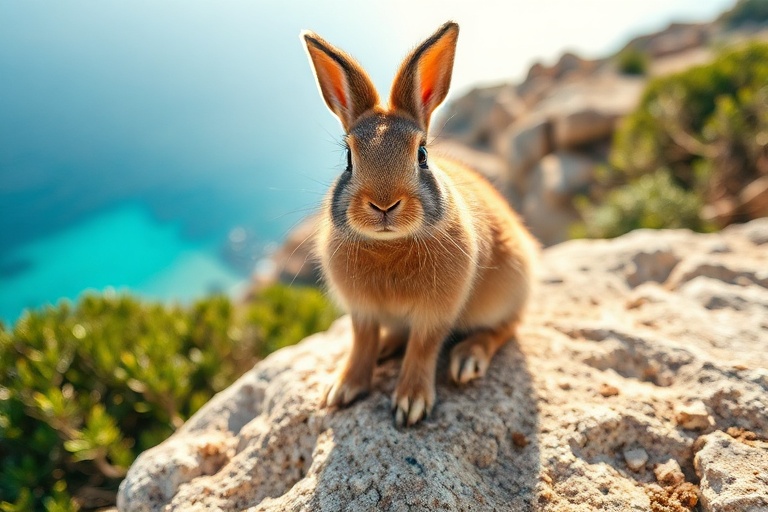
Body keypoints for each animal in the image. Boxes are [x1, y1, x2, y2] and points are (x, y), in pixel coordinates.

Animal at [301, 21, 538, 427]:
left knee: (506, 327)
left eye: (422, 154)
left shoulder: (435, 313)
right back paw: (387, 348)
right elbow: (362, 342)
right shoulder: (362, 311)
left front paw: (410, 404)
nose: (384, 204)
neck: (388, 245)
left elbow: (423, 347)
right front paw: (342, 390)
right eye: (348, 158)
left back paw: (467, 359)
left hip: (507, 290)